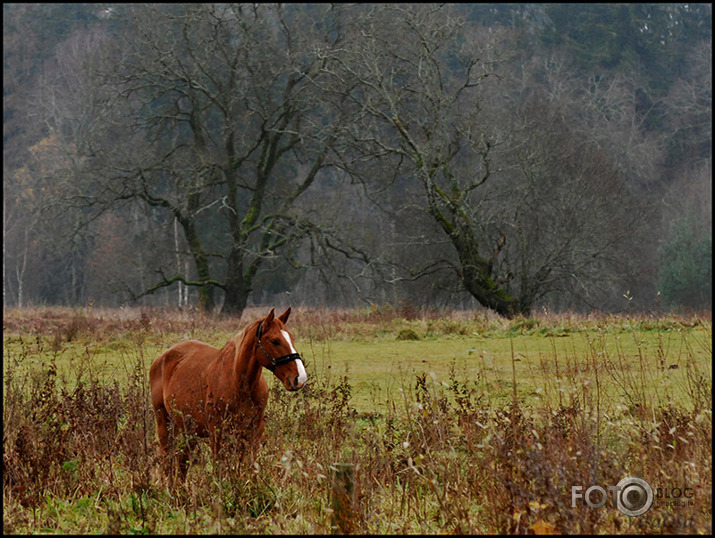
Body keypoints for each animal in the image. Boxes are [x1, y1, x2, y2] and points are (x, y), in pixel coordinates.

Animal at [148, 304, 308, 476]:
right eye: (275, 341)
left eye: (291, 339)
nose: (300, 378)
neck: (240, 385)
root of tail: (162, 358)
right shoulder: (217, 434)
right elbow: (220, 469)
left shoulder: (253, 434)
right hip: (165, 424)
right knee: (167, 463)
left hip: (187, 429)